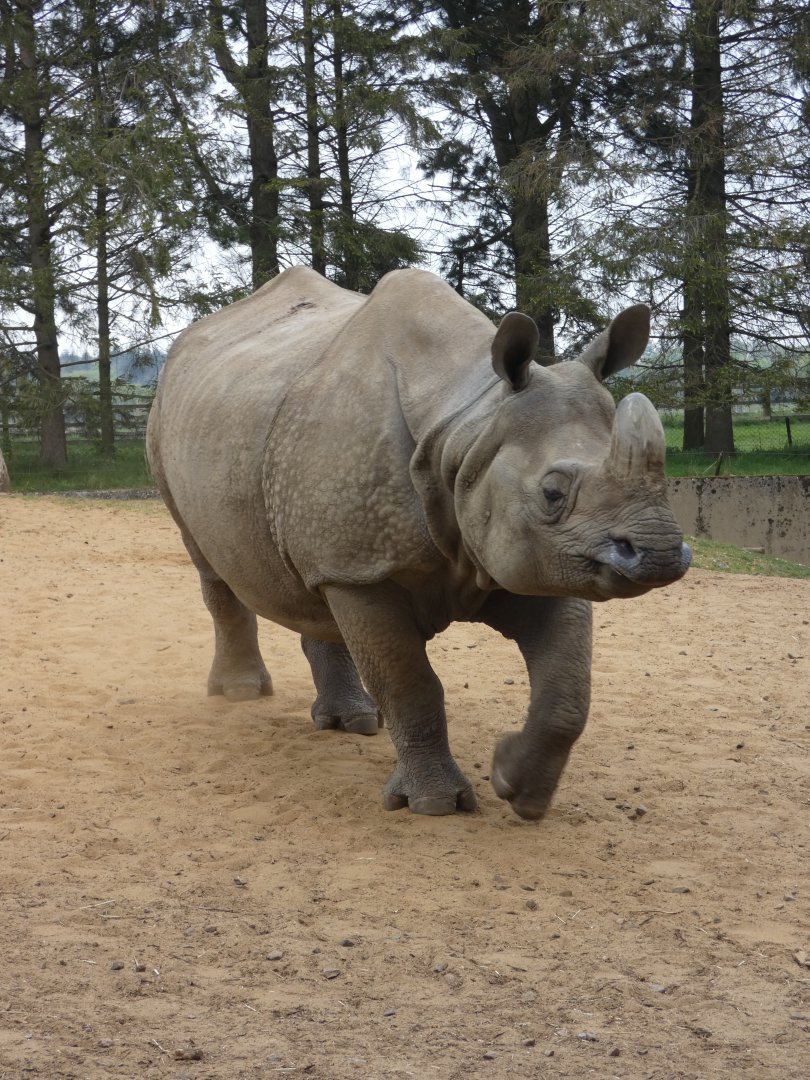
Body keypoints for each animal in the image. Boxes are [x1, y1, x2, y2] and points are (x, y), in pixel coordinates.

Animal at [147, 267, 690, 820]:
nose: (660, 553)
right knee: (210, 564)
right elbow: (411, 684)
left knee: (313, 579)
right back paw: (239, 694)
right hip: (166, 422)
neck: (469, 424)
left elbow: (568, 689)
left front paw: (516, 787)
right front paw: (434, 805)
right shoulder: (367, 572)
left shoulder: (538, 557)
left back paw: (354, 723)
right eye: (552, 493)